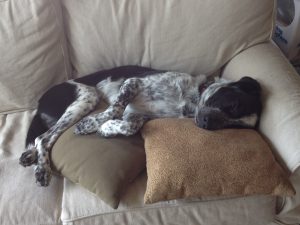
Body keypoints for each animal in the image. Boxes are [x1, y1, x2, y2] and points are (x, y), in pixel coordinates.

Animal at [19, 65, 262, 186]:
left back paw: (30, 157)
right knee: (43, 137)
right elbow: (115, 109)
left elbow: (129, 126)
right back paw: (42, 170)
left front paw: (106, 128)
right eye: (232, 105)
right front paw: (92, 124)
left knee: (46, 137)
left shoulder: (137, 115)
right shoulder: (133, 83)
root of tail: (40, 102)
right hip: (88, 95)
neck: (190, 100)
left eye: (234, 126)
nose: (205, 123)